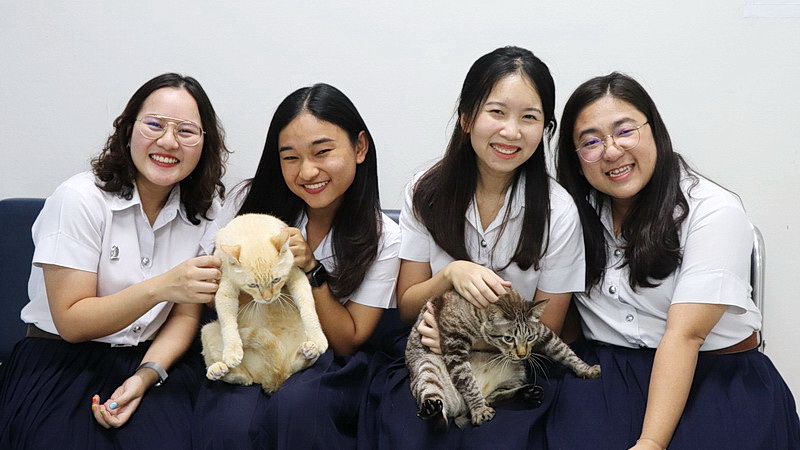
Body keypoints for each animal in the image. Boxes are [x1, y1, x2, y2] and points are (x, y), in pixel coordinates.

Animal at [200, 213, 328, 392]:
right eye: (252, 285)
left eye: (276, 280)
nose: (268, 299)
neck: (252, 228)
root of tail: (269, 377)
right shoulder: (226, 288)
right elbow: (227, 322)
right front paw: (232, 351)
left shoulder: (296, 275)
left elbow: (308, 307)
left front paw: (318, 337)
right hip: (207, 329)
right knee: (241, 377)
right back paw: (218, 370)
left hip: (289, 364)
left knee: (293, 367)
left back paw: (308, 351)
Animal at [406, 286, 600, 428]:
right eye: (508, 338)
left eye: (530, 338)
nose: (522, 354)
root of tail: (462, 409)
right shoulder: (454, 346)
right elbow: (467, 382)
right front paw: (479, 410)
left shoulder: (545, 334)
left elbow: (564, 350)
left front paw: (586, 369)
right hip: (428, 367)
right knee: (441, 417)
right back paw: (434, 412)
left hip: (518, 372)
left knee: (494, 397)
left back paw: (527, 393)